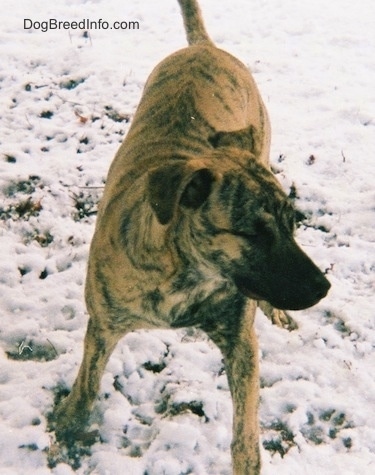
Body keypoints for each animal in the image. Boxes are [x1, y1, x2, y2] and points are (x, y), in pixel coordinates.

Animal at [51, 1, 330, 474]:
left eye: (294, 223)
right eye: (253, 233)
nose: (323, 287)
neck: (186, 275)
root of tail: (204, 47)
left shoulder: (240, 341)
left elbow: (246, 434)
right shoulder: (103, 324)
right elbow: (87, 381)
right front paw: (69, 420)